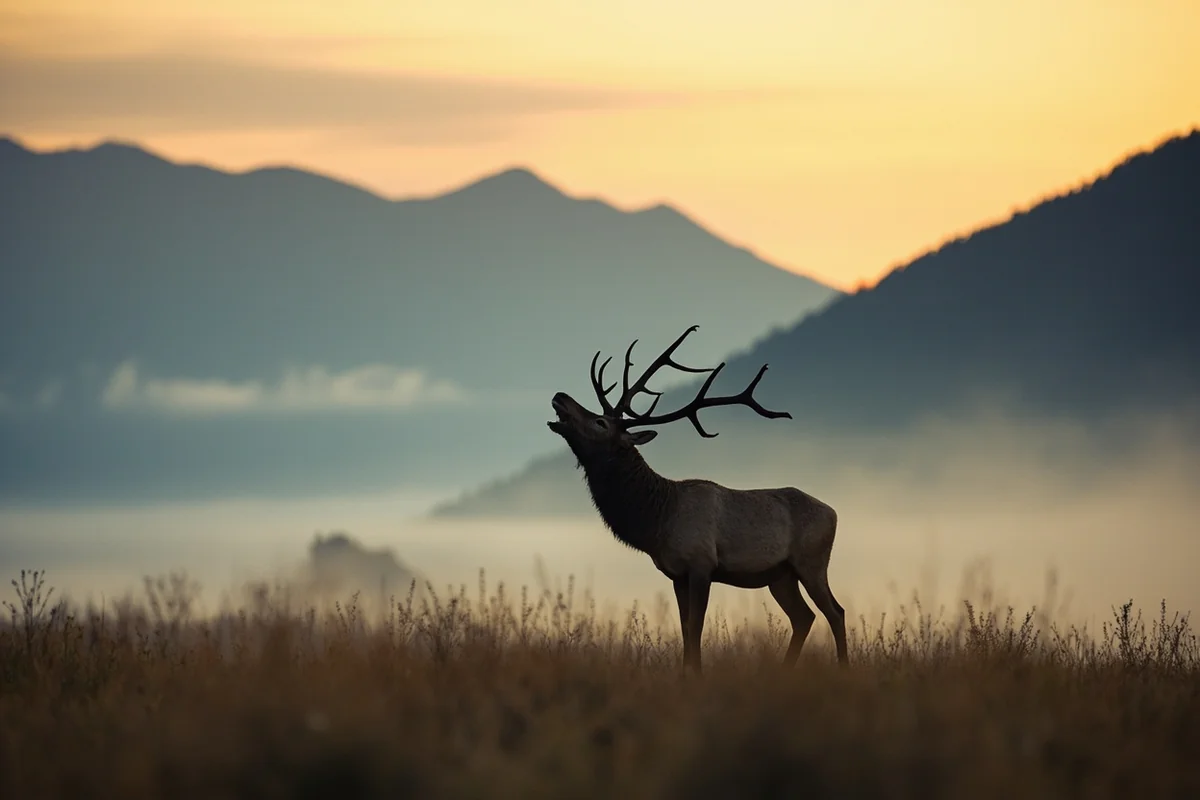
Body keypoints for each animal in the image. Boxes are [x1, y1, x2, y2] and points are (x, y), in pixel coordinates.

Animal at [546, 325, 848, 672]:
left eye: (600, 422)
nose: (560, 396)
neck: (658, 521)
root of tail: (834, 513)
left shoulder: (702, 564)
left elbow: (696, 627)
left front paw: (697, 674)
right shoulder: (676, 574)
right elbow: (684, 627)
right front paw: (685, 674)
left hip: (812, 561)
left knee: (835, 611)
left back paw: (843, 668)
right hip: (781, 575)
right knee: (804, 617)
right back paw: (784, 671)